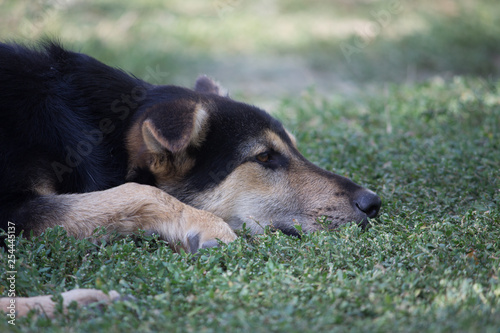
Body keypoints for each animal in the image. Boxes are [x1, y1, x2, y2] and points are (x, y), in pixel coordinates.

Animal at [0, 40, 380, 316]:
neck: (98, 133)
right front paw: (208, 226)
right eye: (263, 157)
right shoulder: (12, 209)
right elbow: (138, 190)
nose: (373, 203)